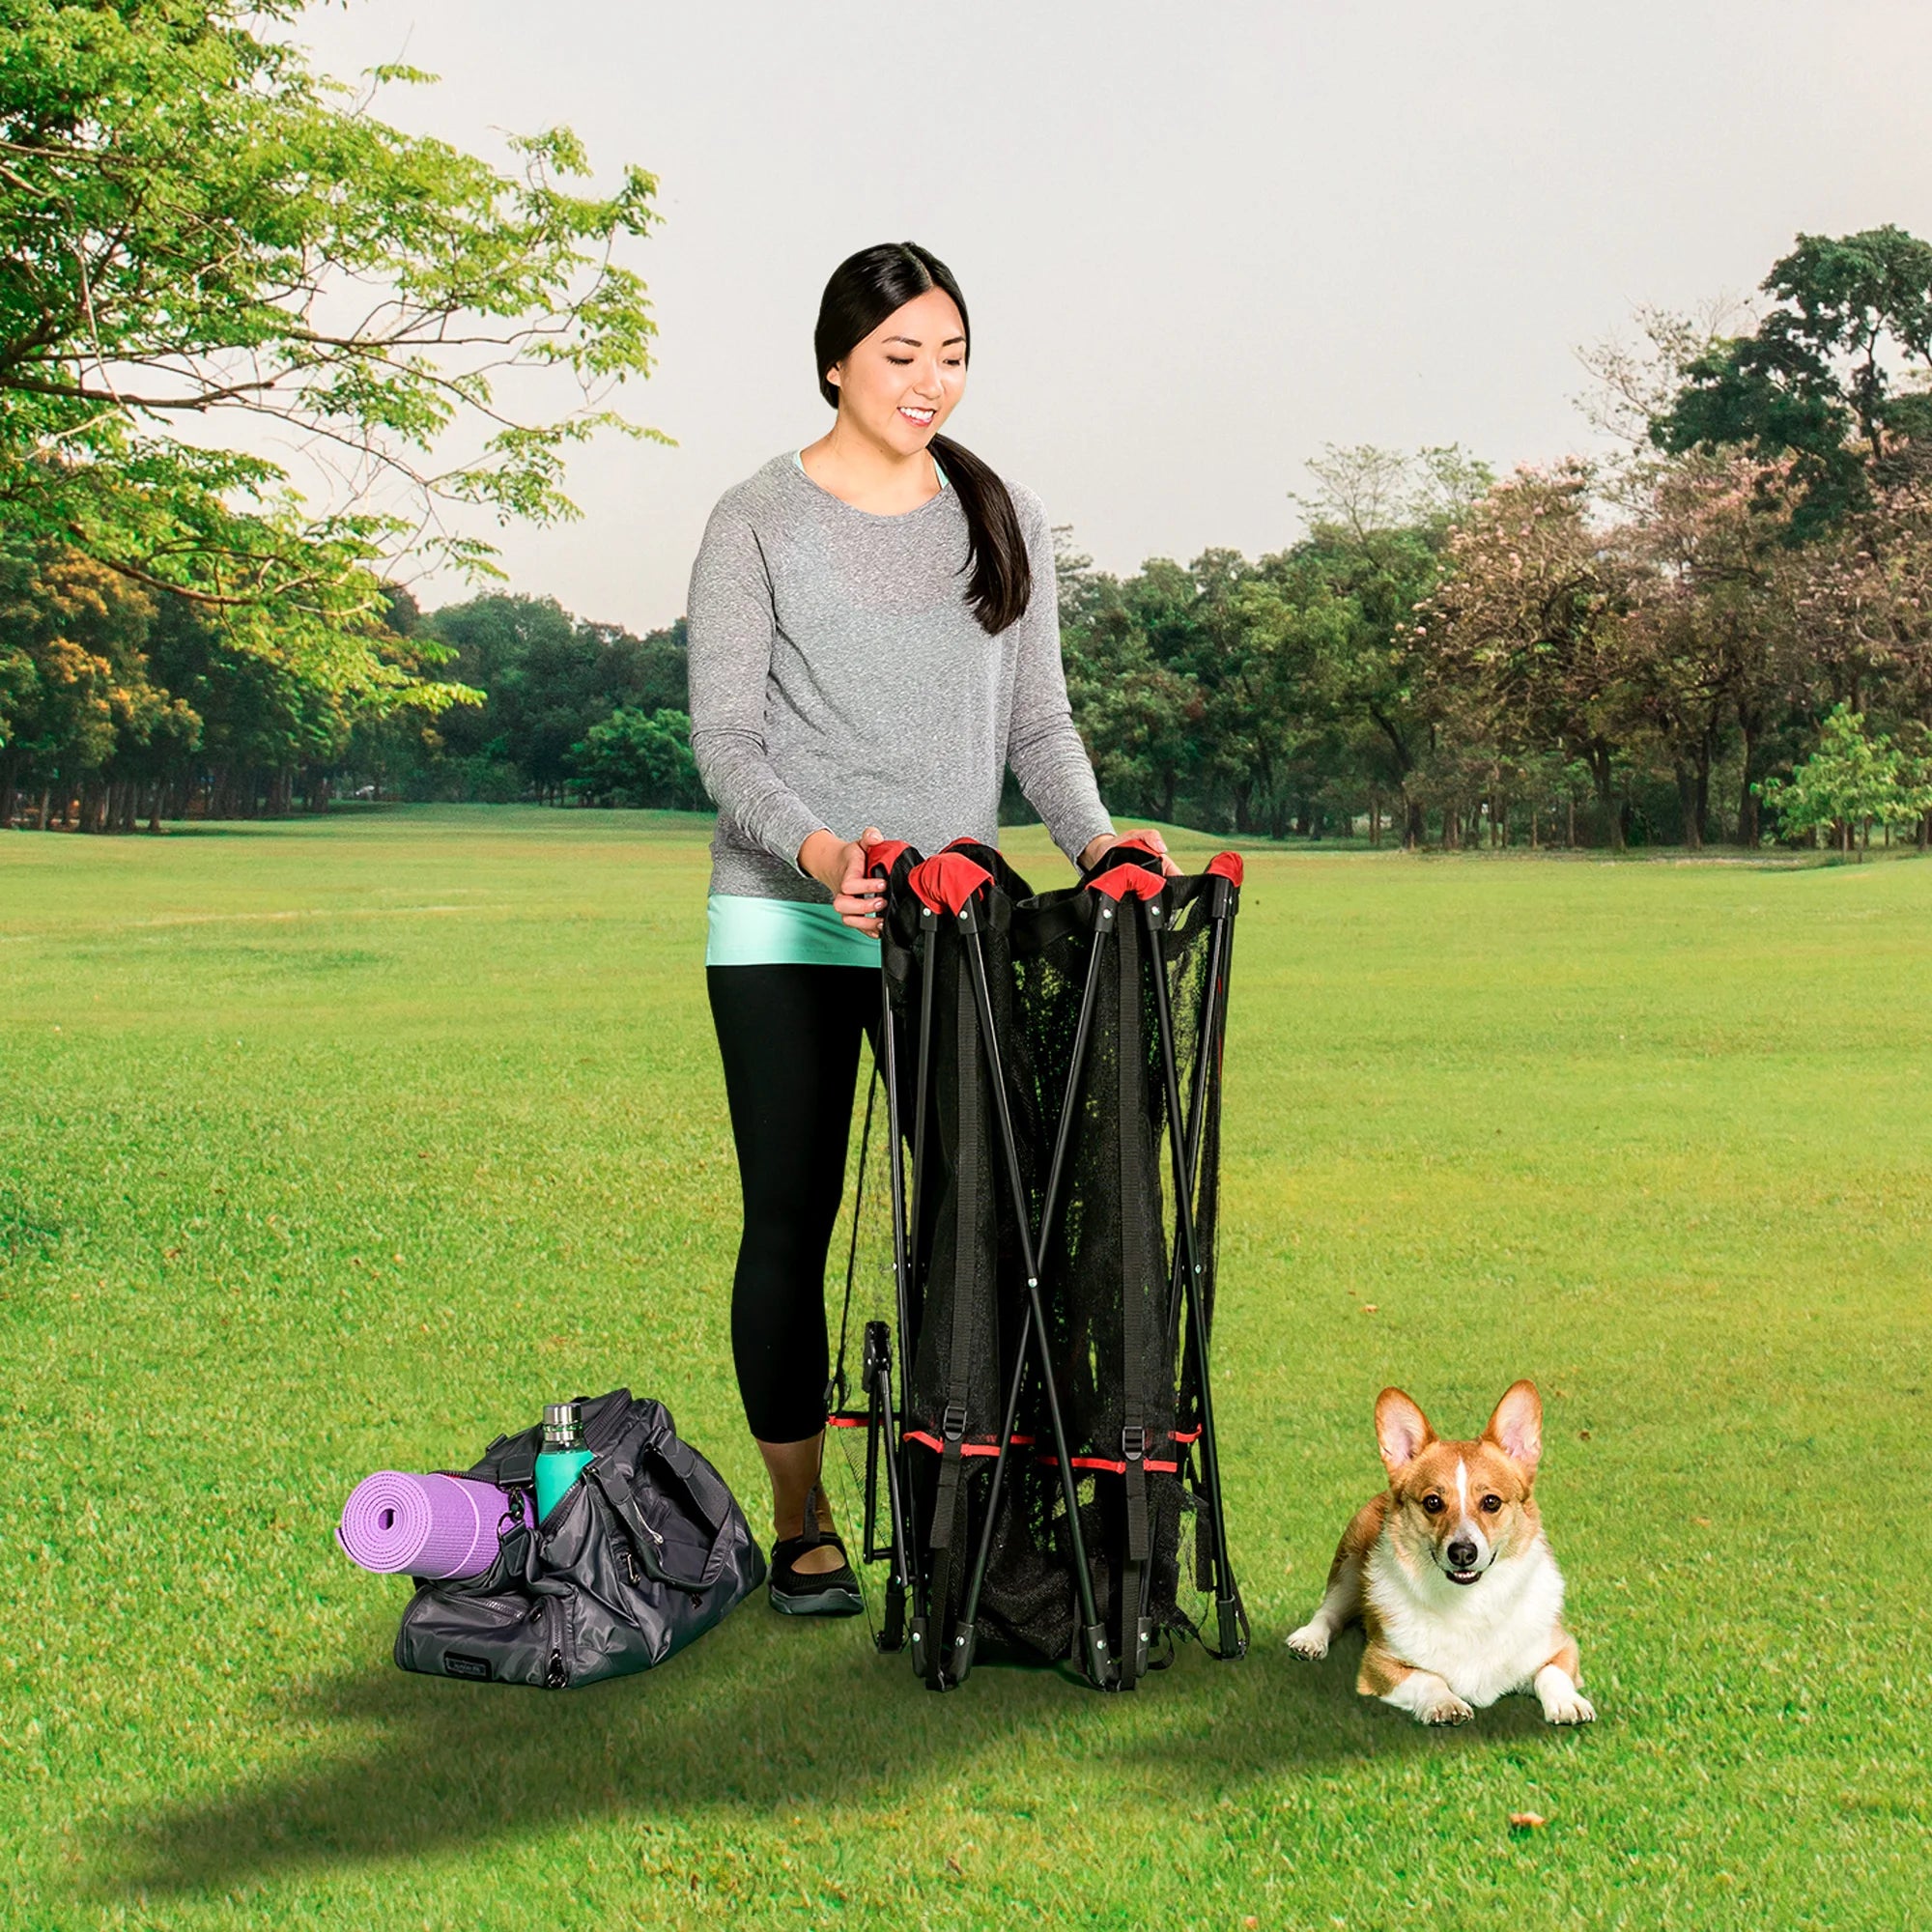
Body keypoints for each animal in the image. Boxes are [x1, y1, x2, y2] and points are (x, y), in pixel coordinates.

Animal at [1291, 1383, 1592, 1731]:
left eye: (1491, 1502)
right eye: (1432, 1502)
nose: (1463, 1553)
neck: (1471, 1603)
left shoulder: (1561, 1647)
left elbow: (1552, 1673)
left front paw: (1568, 1703)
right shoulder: (1379, 1663)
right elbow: (1428, 1678)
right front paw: (1444, 1703)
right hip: (1349, 1565)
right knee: (1330, 1611)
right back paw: (1308, 1640)